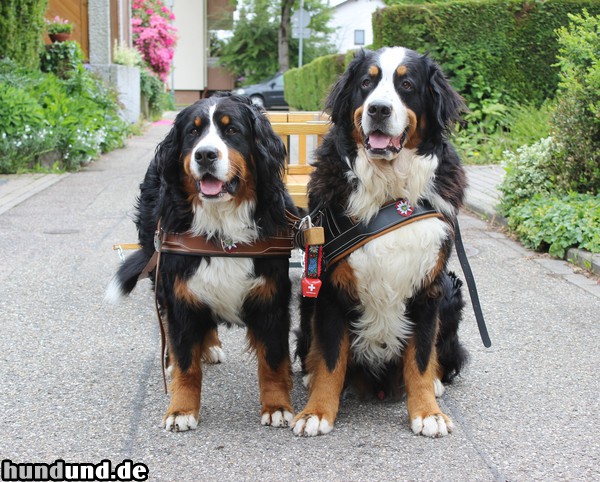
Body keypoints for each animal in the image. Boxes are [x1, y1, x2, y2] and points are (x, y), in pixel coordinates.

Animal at [107, 92, 298, 432]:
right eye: (193, 133)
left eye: (232, 130)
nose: (205, 155)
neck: (222, 229)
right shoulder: (181, 293)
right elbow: (186, 362)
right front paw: (181, 409)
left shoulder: (271, 297)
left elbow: (273, 361)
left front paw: (277, 406)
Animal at [292, 48, 472, 436]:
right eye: (366, 83)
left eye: (407, 85)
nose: (378, 109)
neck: (391, 188)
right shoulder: (330, 285)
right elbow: (330, 358)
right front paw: (317, 411)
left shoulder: (428, 287)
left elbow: (421, 358)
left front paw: (427, 412)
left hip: (452, 290)